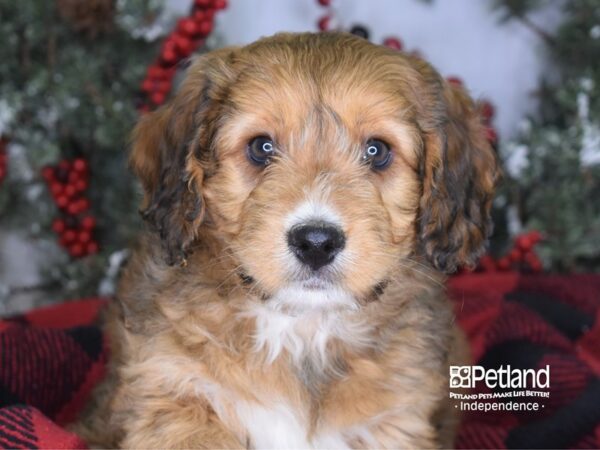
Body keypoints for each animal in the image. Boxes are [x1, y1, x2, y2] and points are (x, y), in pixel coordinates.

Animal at [74, 32, 496, 450]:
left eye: (377, 151)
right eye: (261, 147)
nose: (316, 242)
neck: (302, 329)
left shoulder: (393, 424)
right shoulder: (173, 395)